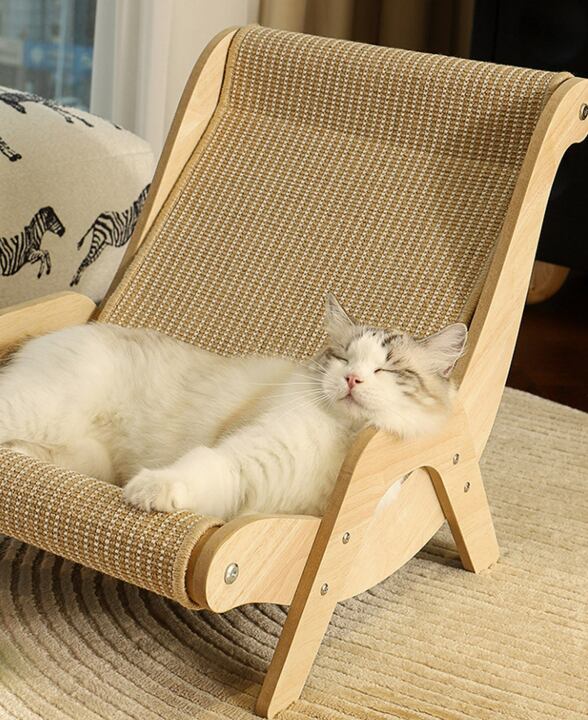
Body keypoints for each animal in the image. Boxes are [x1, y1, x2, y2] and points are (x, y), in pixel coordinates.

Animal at [0, 295, 466, 520]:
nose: (352, 379)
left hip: (79, 454)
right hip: (38, 406)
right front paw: (146, 491)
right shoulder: (244, 460)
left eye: (387, 369)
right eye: (342, 358)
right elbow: (194, 467)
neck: (342, 443)